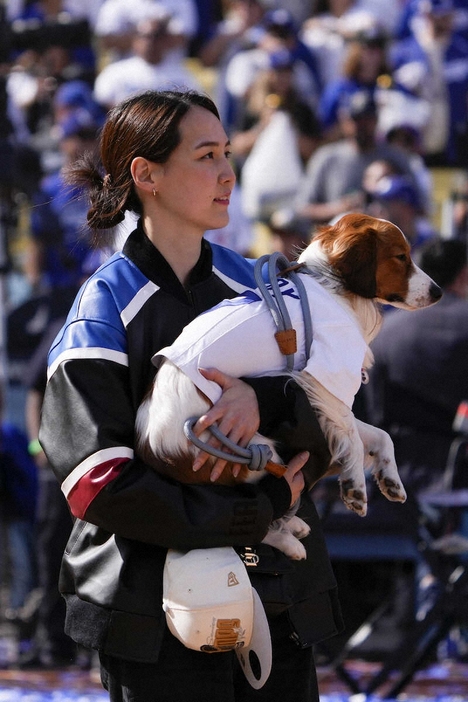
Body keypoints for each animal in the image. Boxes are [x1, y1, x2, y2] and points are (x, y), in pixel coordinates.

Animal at [135, 214, 442, 560]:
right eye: (401, 256)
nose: (438, 291)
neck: (330, 285)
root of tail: (153, 451)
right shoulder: (323, 382)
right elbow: (354, 438)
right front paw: (355, 486)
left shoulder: (327, 403)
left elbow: (380, 435)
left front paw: (391, 480)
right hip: (256, 452)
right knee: (257, 513)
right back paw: (288, 539)